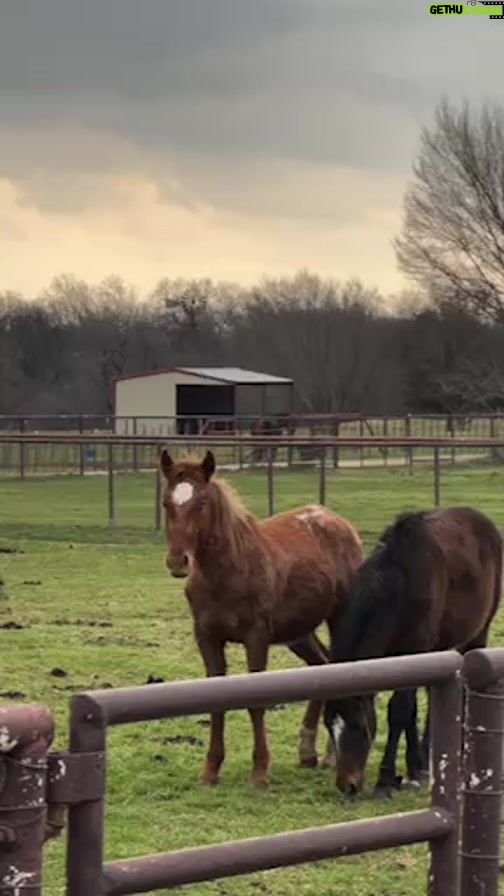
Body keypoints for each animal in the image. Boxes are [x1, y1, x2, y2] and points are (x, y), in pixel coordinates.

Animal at [159, 448, 364, 786]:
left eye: (201, 503)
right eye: (166, 502)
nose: (178, 562)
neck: (227, 572)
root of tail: (339, 523)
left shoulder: (256, 638)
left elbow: (256, 703)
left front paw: (260, 771)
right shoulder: (207, 637)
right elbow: (214, 700)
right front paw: (210, 770)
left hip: (336, 619)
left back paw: (330, 756)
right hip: (299, 633)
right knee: (321, 665)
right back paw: (309, 751)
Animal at [323, 506, 503, 798]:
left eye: (359, 728)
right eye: (329, 726)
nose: (346, 785)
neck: (398, 582)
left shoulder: (415, 650)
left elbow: (399, 710)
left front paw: (385, 780)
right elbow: (411, 710)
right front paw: (415, 767)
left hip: (478, 634)